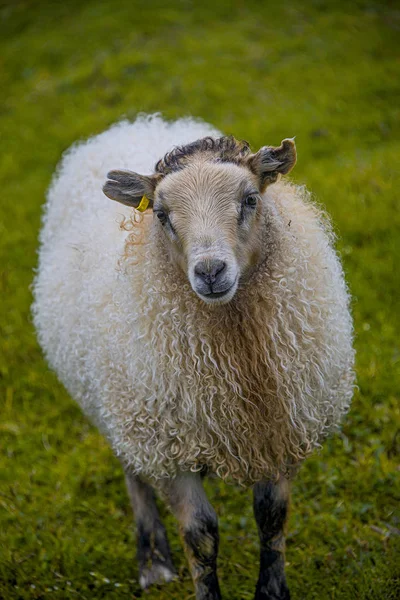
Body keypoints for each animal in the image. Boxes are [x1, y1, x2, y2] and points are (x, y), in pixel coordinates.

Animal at [32, 113, 354, 600]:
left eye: (251, 199)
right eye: (162, 215)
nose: (210, 271)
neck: (237, 352)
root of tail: (128, 124)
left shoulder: (282, 429)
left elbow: (271, 517)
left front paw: (272, 591)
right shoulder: (167, 447)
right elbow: (201, 536)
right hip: (117, 407)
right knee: (133, 473)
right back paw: (154, 561)